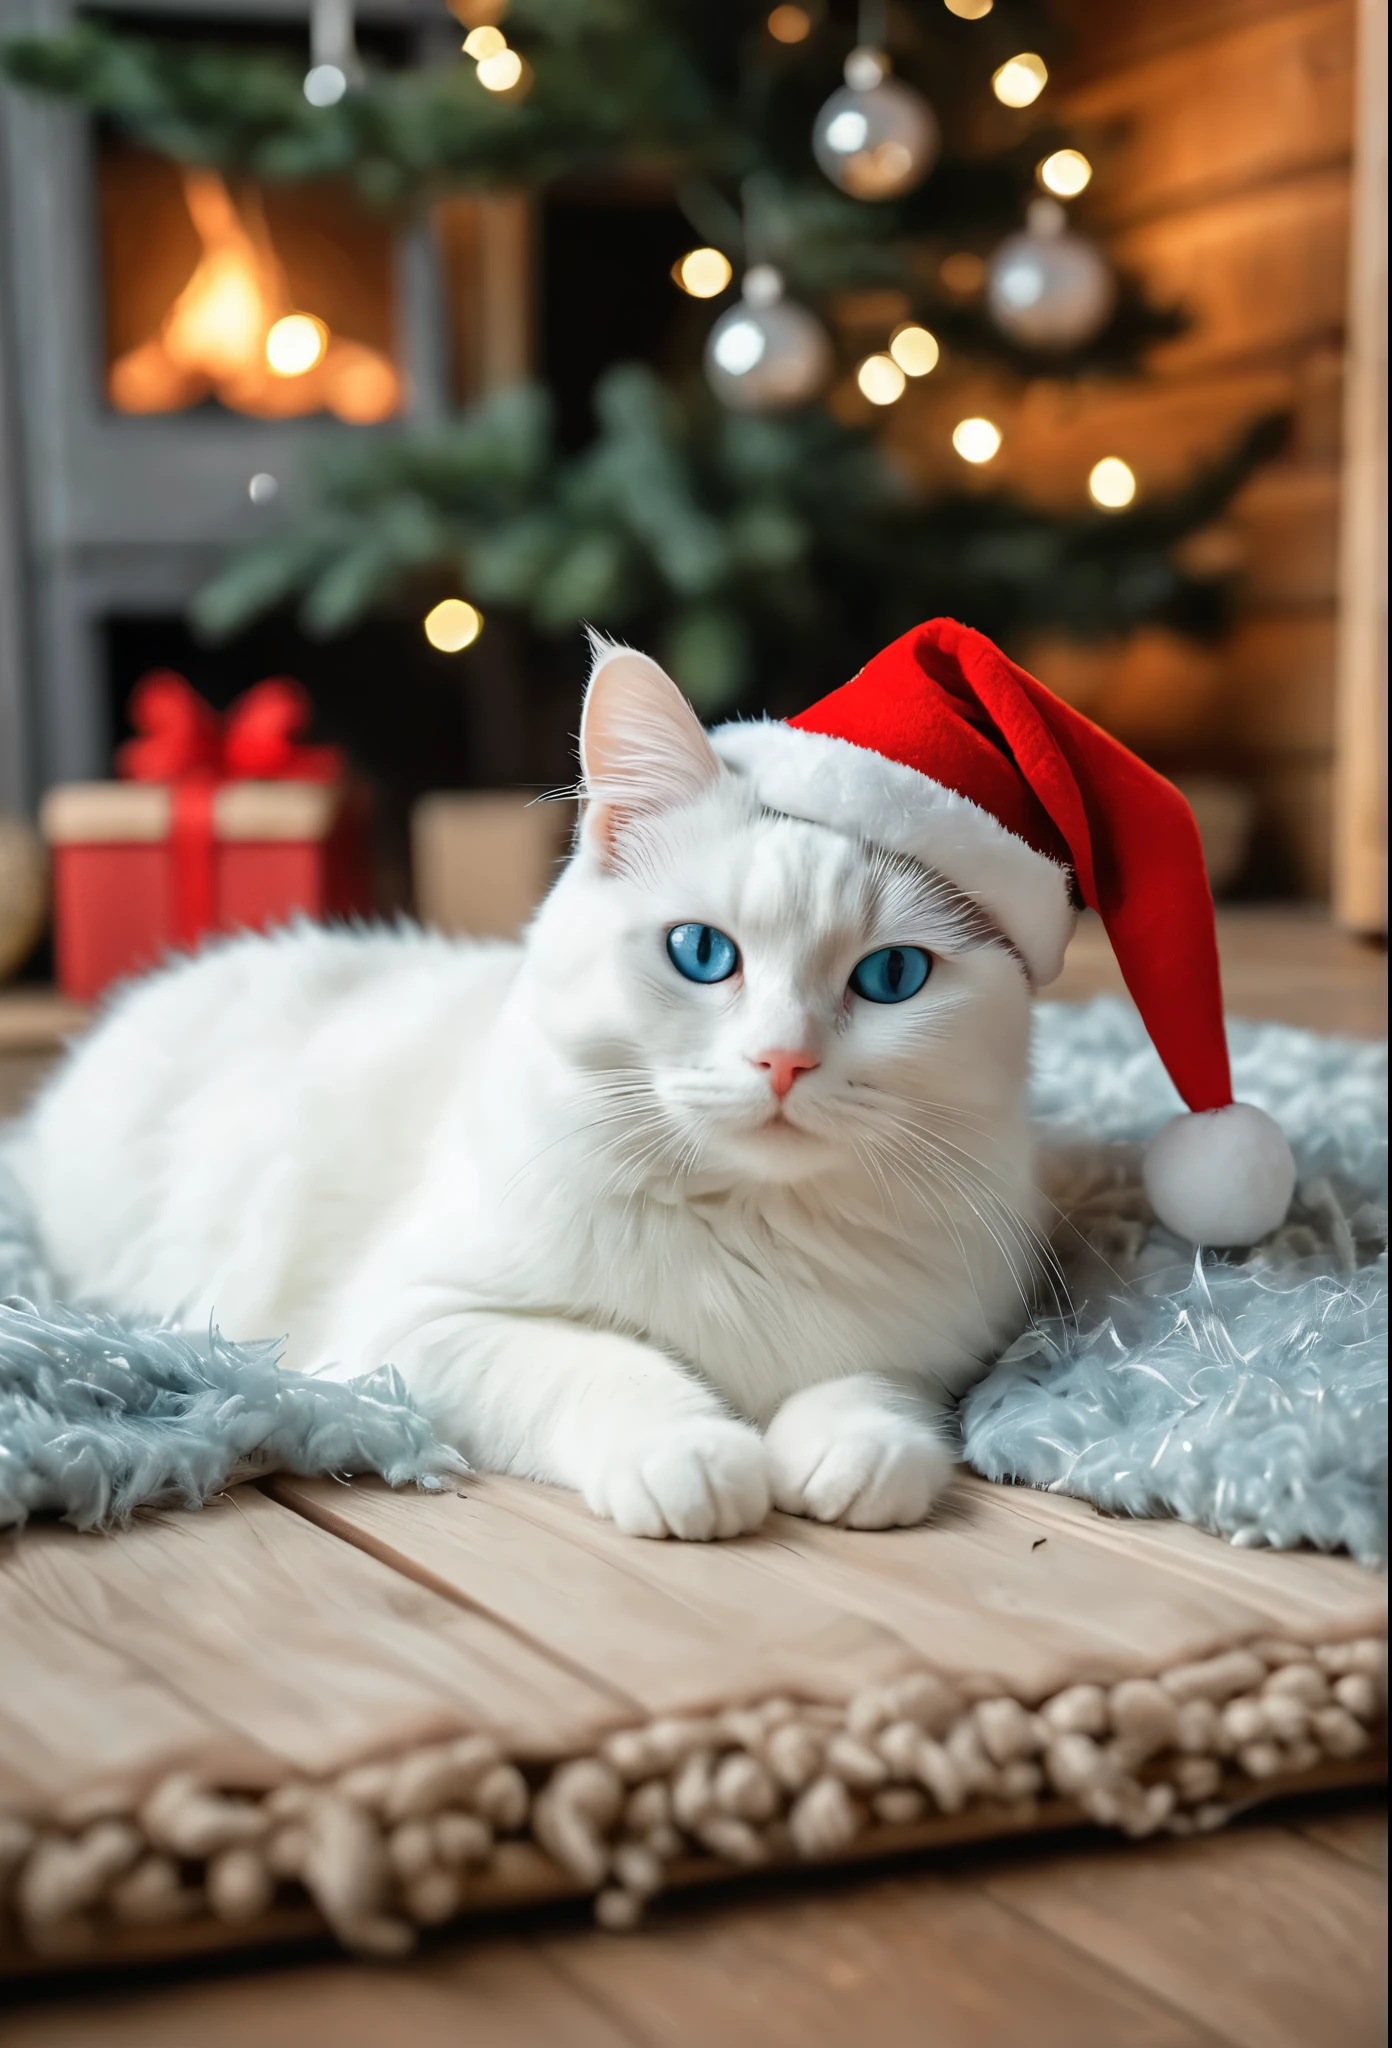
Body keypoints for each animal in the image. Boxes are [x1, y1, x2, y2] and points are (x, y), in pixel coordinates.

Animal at [10, 643, 1039, 1540]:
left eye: (893, 977)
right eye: (703, 953)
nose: (783, 1061)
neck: (753, 1220)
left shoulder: (942, 1341)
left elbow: (881, 1384)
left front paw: (859, 1445)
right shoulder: (420, 1324)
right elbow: (603, 1362)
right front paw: (696, 1454)